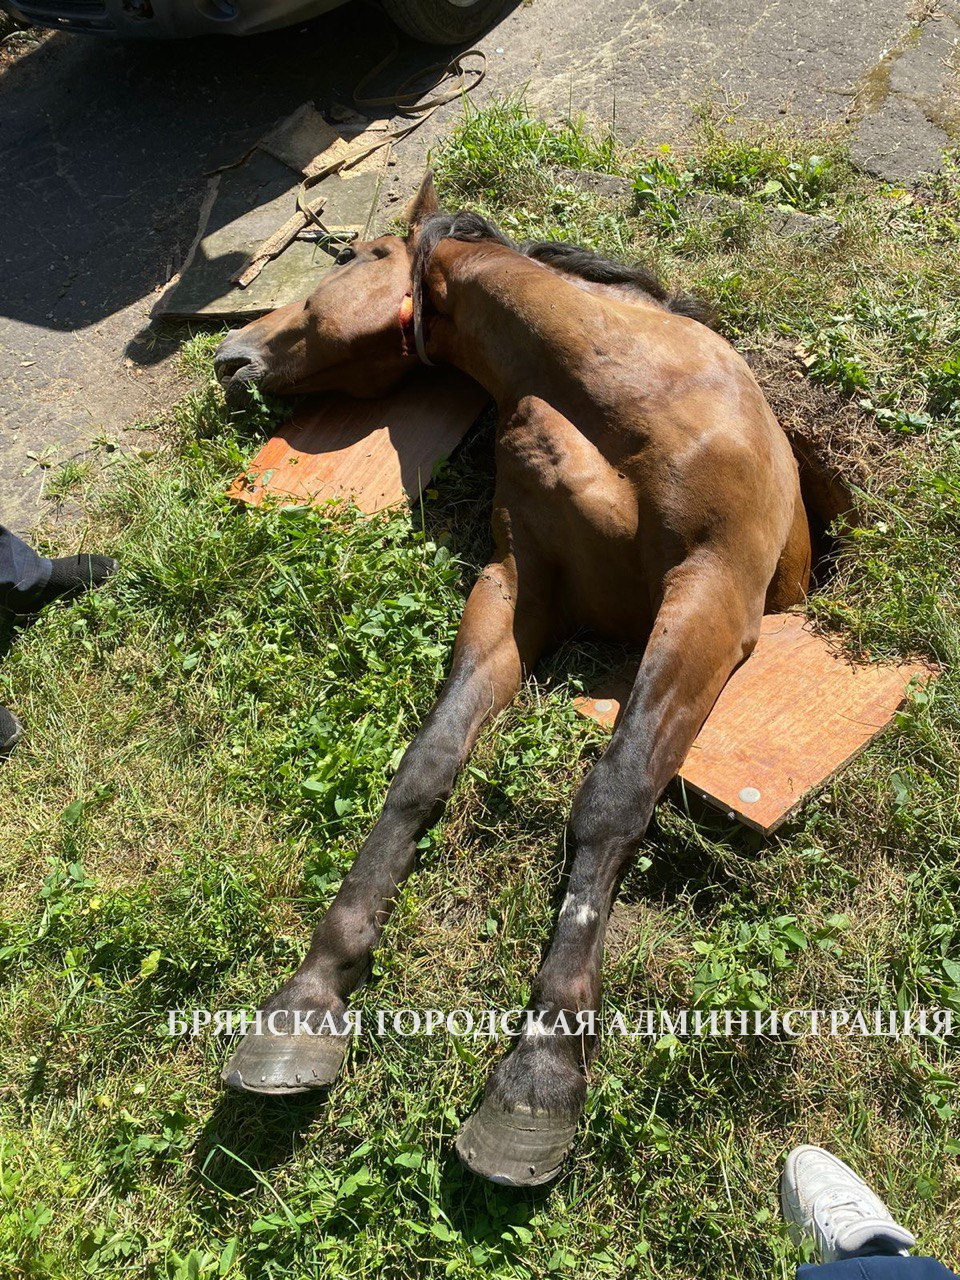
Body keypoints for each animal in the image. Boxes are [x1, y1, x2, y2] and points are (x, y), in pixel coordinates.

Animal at [216, 172, 819, 1187]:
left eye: (353, 258)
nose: (229, 355)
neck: (614, 388)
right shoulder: (513, 594)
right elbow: (424, 769)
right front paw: (309, 999)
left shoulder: (711, 594)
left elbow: (613, 796)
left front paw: (538, 1076)